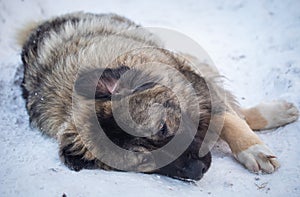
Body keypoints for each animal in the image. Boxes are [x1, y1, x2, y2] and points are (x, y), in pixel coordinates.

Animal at [18, 12, 298, 181]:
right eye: (143, 160)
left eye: (163, 128)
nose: (199, 170)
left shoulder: (189, 82)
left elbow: (229, 120)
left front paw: (253, 150)